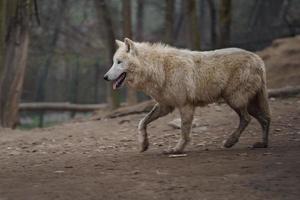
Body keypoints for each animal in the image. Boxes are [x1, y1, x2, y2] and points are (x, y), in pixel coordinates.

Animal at [104, 38, 270, 154]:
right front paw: (144, 144)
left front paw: (177, 150)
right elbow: (142, 122)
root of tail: (259, 60)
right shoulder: (165, 106)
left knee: (247, 119)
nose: (105, 77)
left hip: (235, 101)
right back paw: (262, 144)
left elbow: (184, 132)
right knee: (265, 119)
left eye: (119, 62)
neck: (160, 68)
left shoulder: (186, 105)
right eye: (113, 62)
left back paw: (230, 141)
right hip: (247, 103)